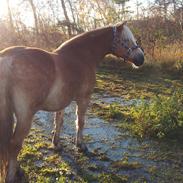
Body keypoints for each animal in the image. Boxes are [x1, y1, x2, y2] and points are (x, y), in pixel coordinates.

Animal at [0, 21, 143, 182]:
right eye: (126, 40)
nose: (141, 59)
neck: (80, 57)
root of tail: (7, 59)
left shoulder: (61, 102)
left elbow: (58, 122)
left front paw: (56, 144)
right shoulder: (83, 98)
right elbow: (80, 122)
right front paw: (81, 145)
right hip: (25, 116)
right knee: (14, 144)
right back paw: (13, 175)